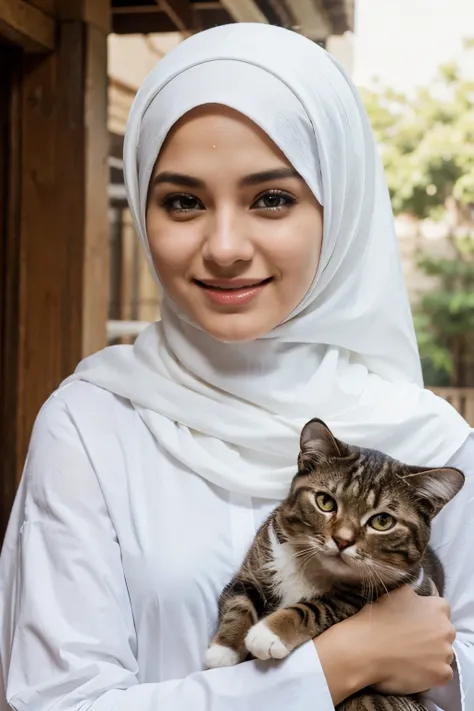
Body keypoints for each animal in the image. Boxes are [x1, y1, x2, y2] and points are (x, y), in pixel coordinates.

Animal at [206, 420, 462, 708]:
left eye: (382, 521)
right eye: (325, 502)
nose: (342, 540)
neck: (314, 567)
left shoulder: (375, 591)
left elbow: (317, 607)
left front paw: (270, 633)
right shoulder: (260, 558)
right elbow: (239, 599)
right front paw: (224, 649)